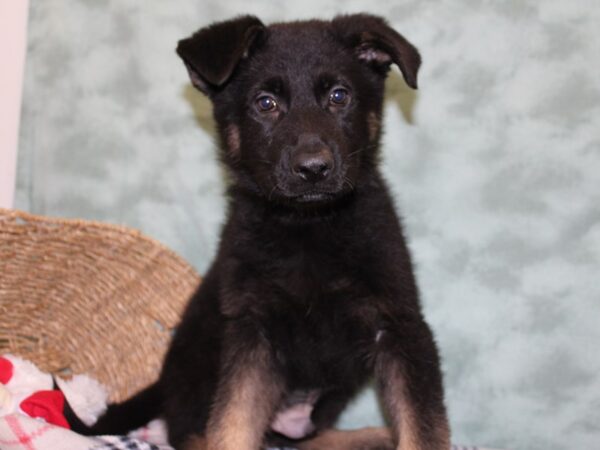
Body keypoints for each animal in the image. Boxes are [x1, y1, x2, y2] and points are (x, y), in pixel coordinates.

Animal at [82, 14, 452, 450]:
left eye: (339, 96)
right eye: (265, 103)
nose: (313, 168)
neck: (308, 225)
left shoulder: (399, 327)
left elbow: (422, 427)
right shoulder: (253, 337)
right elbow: (232, 424)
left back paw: (371, 434)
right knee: (195, 434)